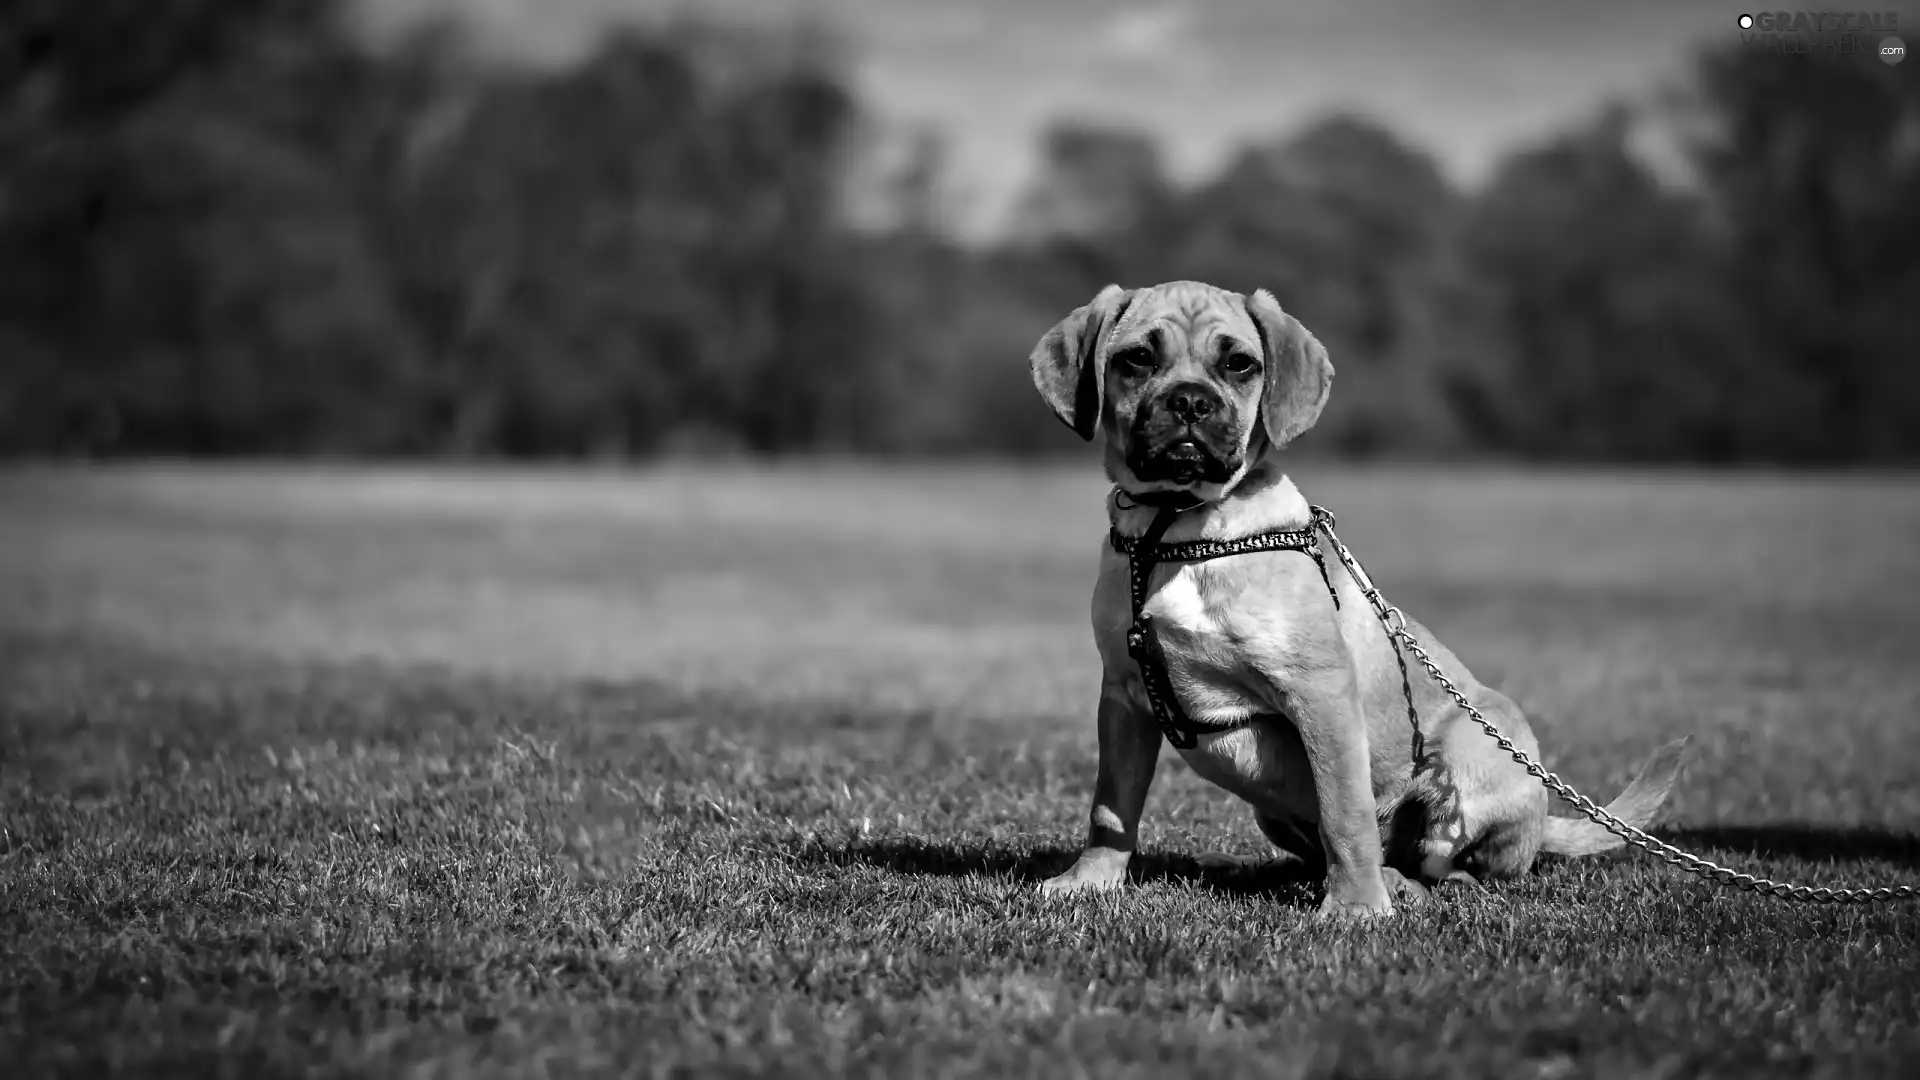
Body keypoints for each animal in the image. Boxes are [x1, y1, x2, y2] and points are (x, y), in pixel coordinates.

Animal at [1029, 278, 1689, 914]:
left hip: (1475, 752)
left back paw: (1397, 885)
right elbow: (1110, 808)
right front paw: (1089, 881)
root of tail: (1544, 825)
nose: (1191, 401)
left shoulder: (1320, 694)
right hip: (1272, 811)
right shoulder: (1124, 697)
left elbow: (1345, 816)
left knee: (1455, 872)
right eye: (1137, 359)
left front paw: (1356, 909)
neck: (1176, 527)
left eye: (1240, 364)